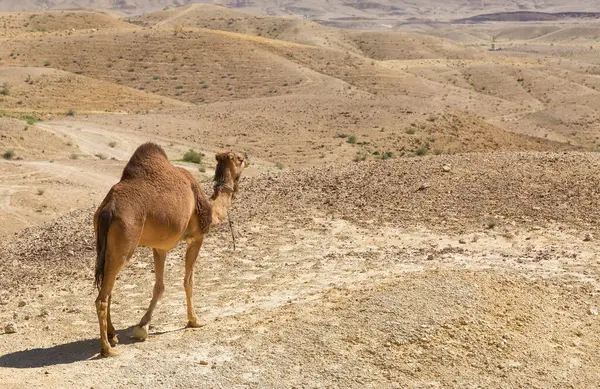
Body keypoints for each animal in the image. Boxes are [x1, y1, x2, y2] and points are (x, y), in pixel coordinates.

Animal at [92, 141, 246, 356]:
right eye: (239, 159)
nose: (247, 157)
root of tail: (108, 209)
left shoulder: (160, 248)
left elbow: (159, 286)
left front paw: (143, 326)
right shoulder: (196, 238)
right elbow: (188, 281)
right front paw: (194, 321)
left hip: (104, 245)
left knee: (107, 288)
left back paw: (113, 335)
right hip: (125, 242)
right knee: (102, 297)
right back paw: (107, 349)